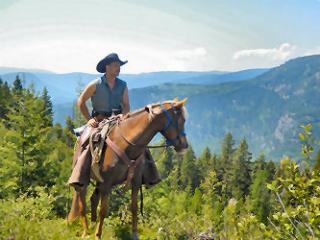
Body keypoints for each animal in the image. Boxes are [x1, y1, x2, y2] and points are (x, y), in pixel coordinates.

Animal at [67, 98, 188, 240]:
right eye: (181, 120)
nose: (184, 146)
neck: (126, 144)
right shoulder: (106, 183)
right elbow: (103, 210)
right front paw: (98, 235)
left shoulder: (135, 182)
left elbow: (134, 207)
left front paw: (134, 234)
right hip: (83, 180)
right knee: (82, 203)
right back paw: (86, 231)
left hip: (98, 181)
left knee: (93, 199)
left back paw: (92, 224)